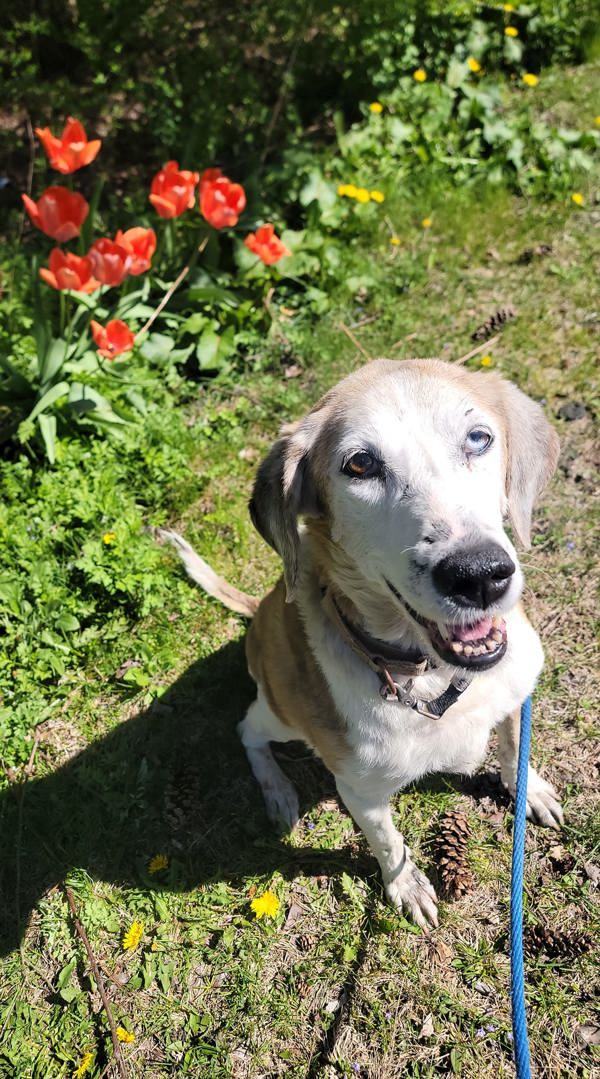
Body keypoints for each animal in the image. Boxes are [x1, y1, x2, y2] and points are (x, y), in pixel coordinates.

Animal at [162, 360, 561, 927]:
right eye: (360, 464)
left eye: (479, 438)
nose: (479, 575)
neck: (431, 679)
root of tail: (258, 614)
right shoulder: (360, 790)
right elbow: (388, 842)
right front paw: (406, 886)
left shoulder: (513, 699)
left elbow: (511, 751)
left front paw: (531, 790)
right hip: (281, 714)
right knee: (246, 730)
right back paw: (278, 792)